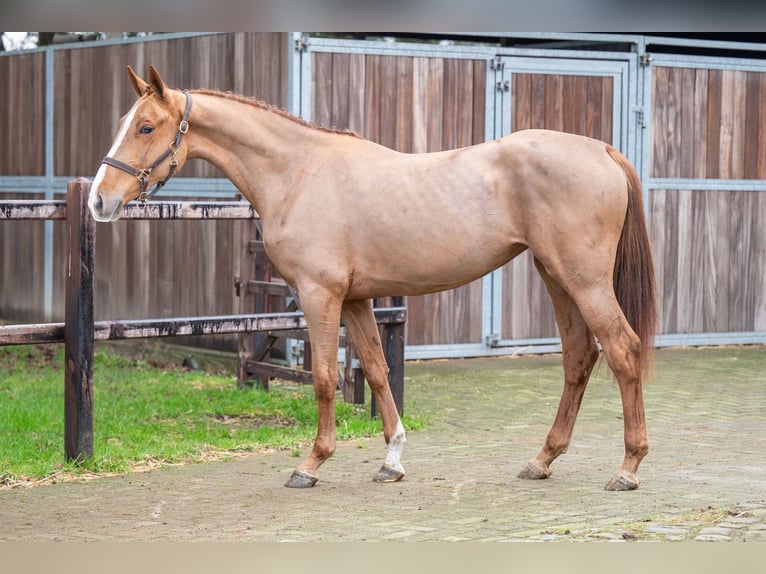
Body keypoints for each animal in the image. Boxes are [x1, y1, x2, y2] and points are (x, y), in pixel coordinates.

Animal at [87, 66, 656, 490]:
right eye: (123, 122)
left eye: (145, 127)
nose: (99, 200)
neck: (298, 172)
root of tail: (601, 150)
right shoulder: (357, 301)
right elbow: (378, 373)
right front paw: (392, 461)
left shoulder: (319, 295)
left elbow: (324, 378)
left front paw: (310, 464)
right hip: (556, 277)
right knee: (579, 358)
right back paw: (543, 459)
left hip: (584, 281)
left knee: (623, 351)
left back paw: (628, 468)